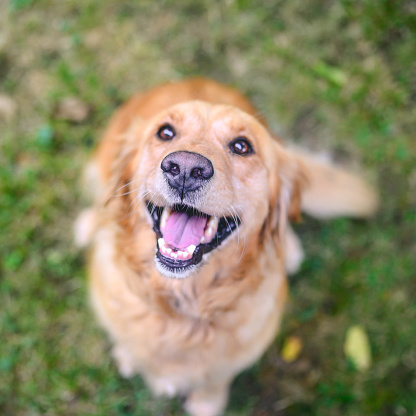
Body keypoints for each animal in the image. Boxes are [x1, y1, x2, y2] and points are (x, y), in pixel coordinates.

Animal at [75, 79, 376, 416]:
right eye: (165, 132)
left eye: (242, 146)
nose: (185, 169)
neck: (184, 306)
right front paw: (130, 357)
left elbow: (216, 377)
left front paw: (206, 403)